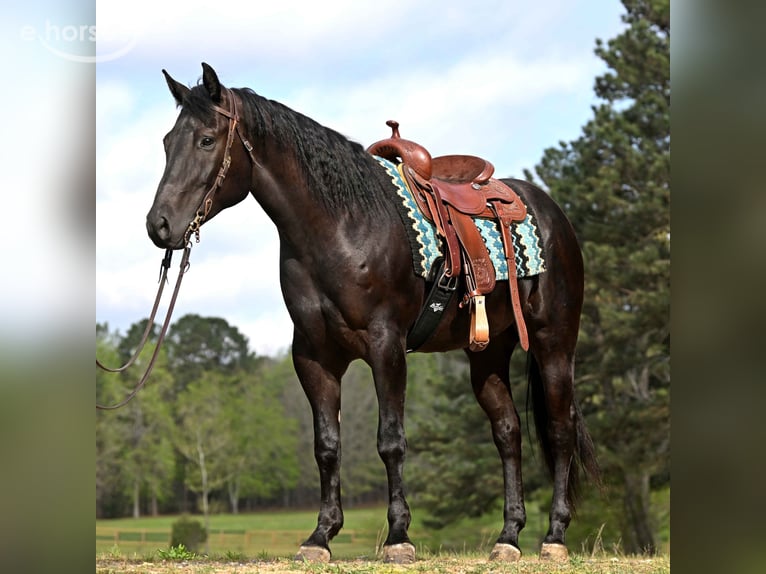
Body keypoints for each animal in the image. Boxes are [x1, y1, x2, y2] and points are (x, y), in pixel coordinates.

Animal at [146, 63, 600, 564]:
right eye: (167, 141)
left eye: (207, 139)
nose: (159, 225)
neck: (341, 225)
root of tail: (550, 212)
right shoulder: (314, 357)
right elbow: (327, 446)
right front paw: (321, 536)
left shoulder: (387, 346)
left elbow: (391, 441)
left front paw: (399, 536)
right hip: (488, 353)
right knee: (508, 432)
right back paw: (508, 537)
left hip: (554, 343)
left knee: (559, 430)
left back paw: (554, 536)